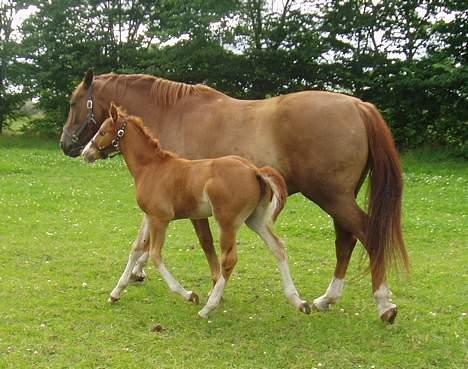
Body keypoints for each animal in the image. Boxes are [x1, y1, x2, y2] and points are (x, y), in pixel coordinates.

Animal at [82, 103, 310, 316]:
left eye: (102, 131)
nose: (86, 153)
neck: (150, 167)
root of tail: (254, 170)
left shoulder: (160, 219)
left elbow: (155, 254)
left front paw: (189, 295)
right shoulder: (149, 216)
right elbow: (136, 249)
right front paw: (115, 293)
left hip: (227, 222)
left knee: (229, 260)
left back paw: (208, 307)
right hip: (255, 219)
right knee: (277, 247)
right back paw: (298, 301)